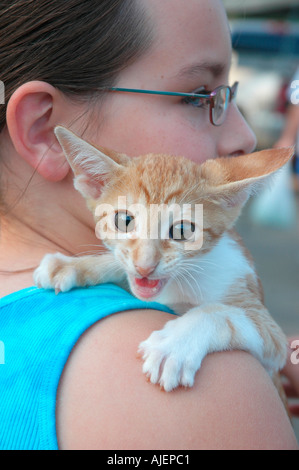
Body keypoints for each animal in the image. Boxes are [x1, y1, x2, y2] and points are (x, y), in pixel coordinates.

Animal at [34, 126, 294, 392]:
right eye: (124, 221)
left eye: (182, 230)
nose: (145, 267)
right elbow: (119, 262)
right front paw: (74, 265)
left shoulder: (274, 341)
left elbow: (218, 313)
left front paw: (175, 346)